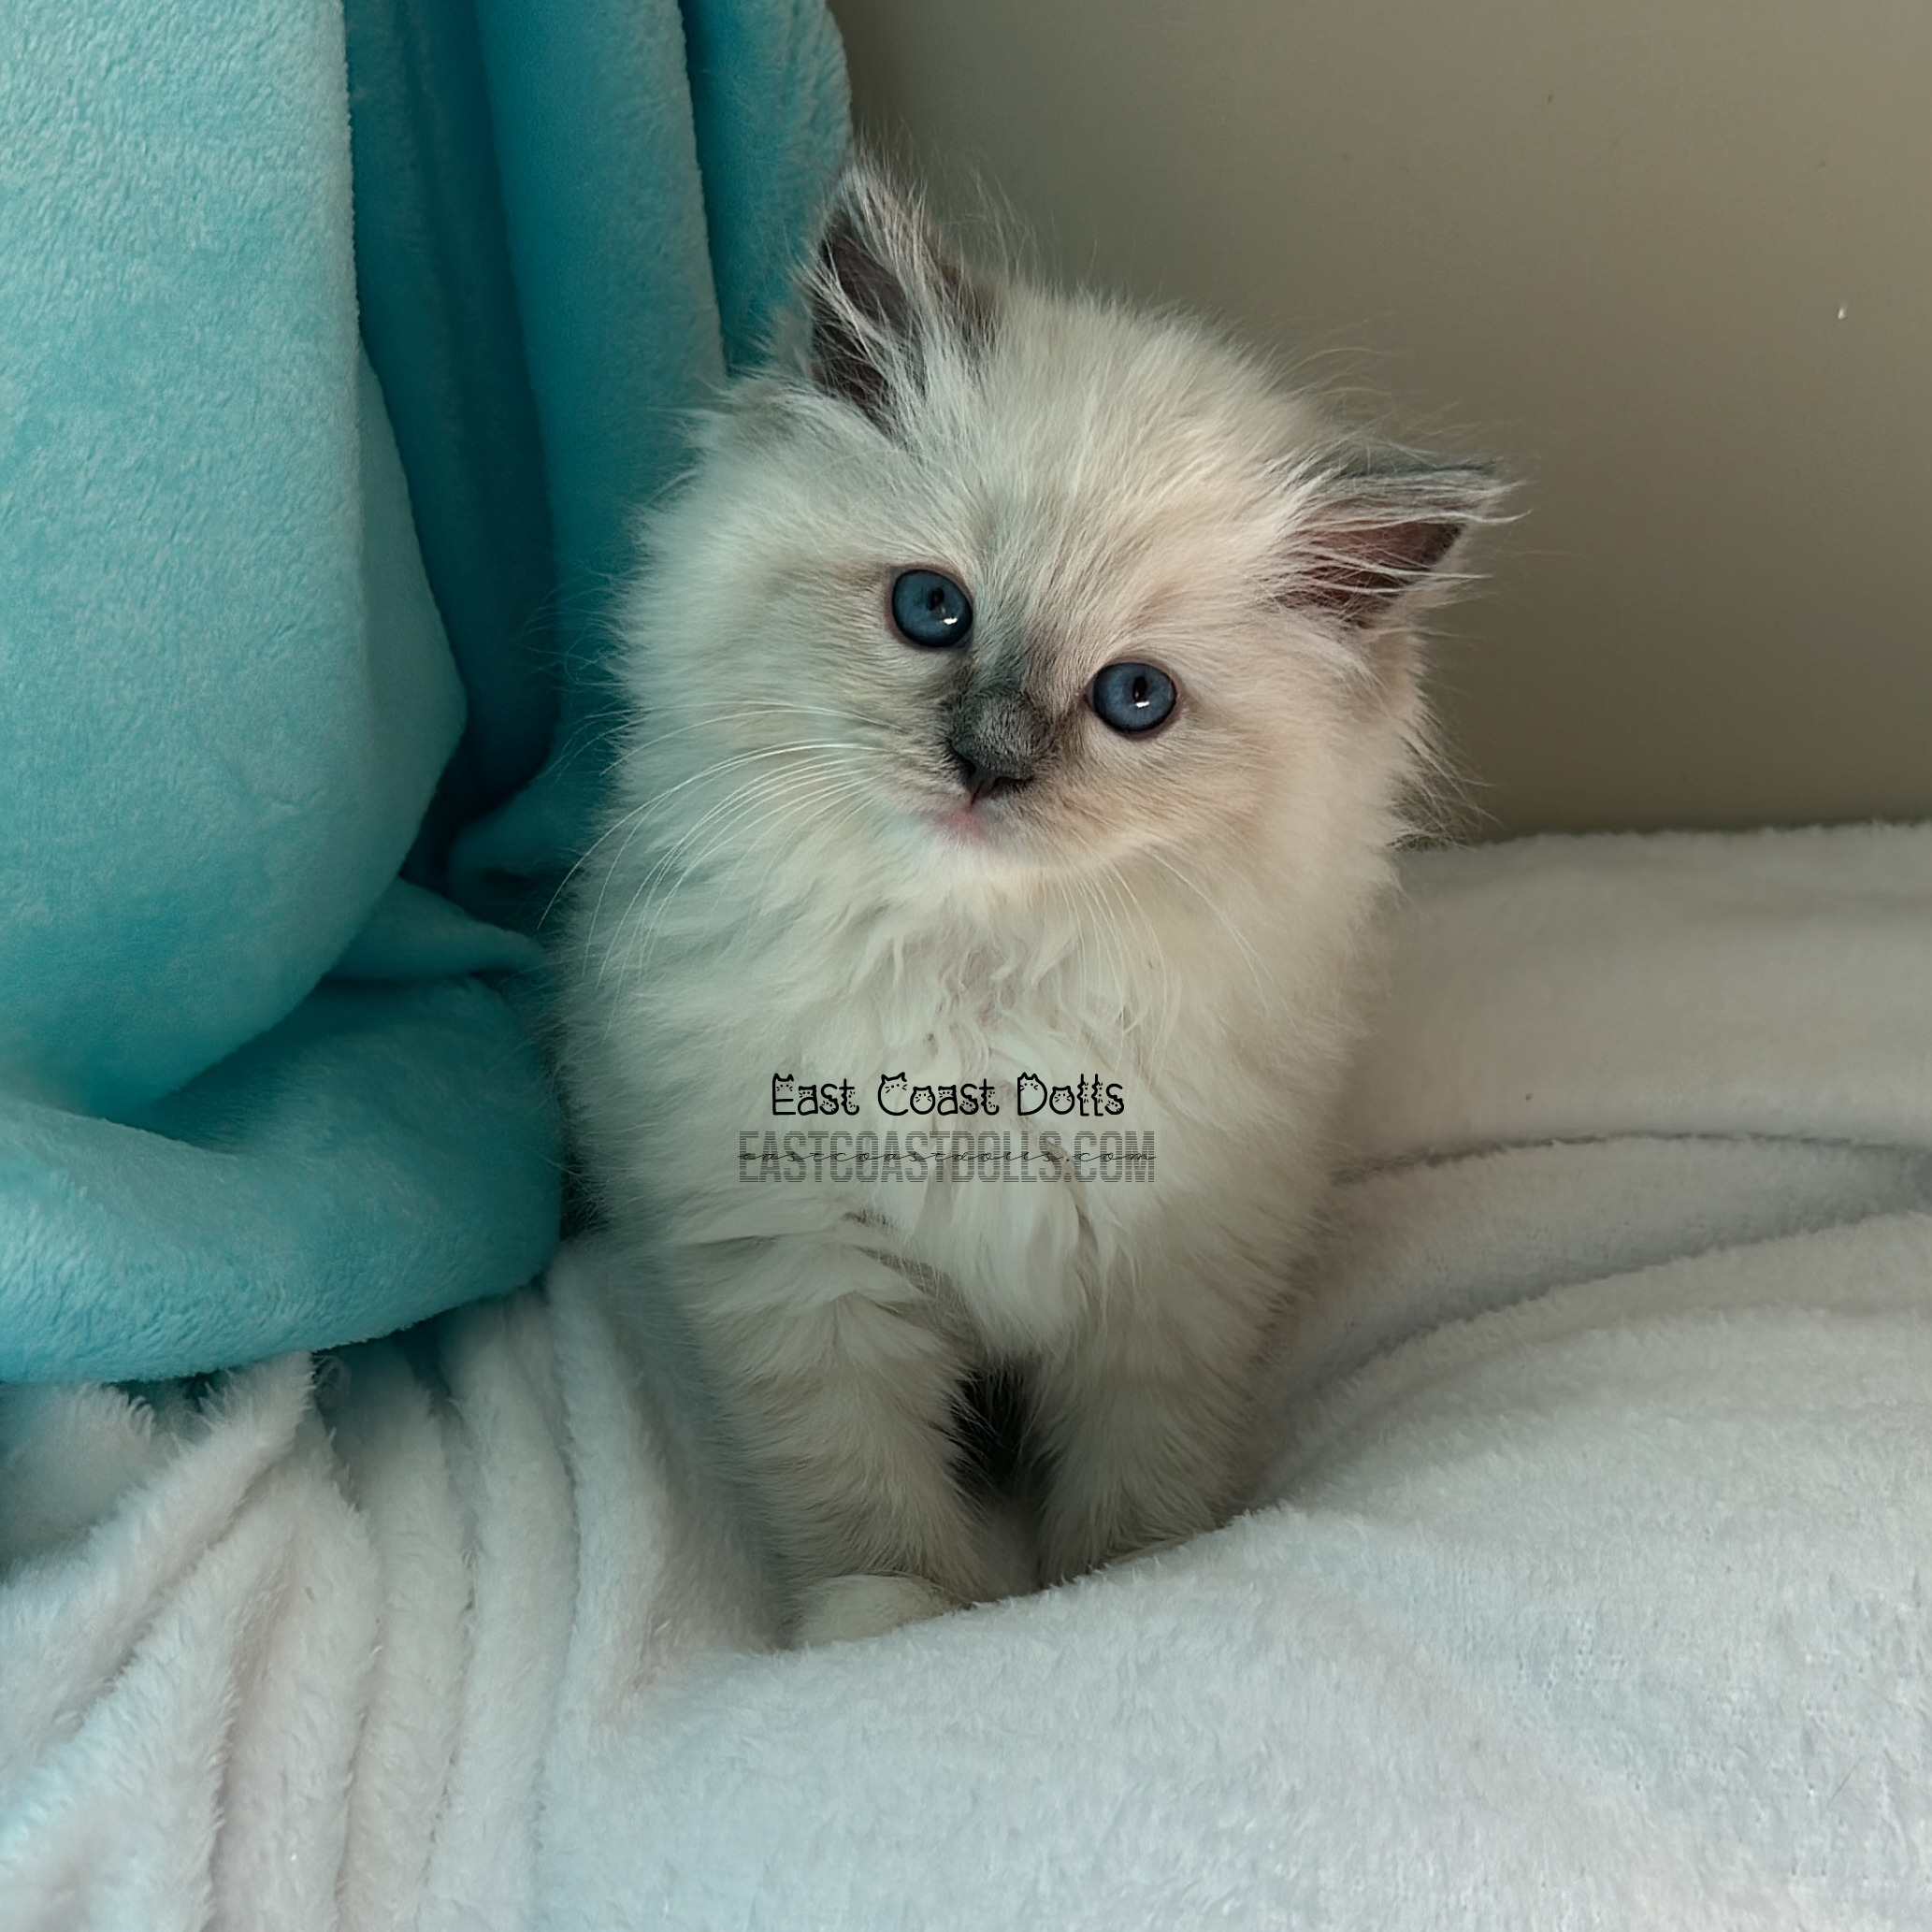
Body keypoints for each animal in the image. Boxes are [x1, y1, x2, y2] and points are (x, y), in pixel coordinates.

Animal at [560, 166, 1491, 1646]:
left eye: (1134, 699)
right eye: (931, 610)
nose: (987, 763)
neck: (984, 992)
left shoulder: (1167, 1275)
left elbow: (1135, 1487)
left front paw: (1122, 1585)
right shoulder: (807, 1272)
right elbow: (866, 1497)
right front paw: (883, 1625)